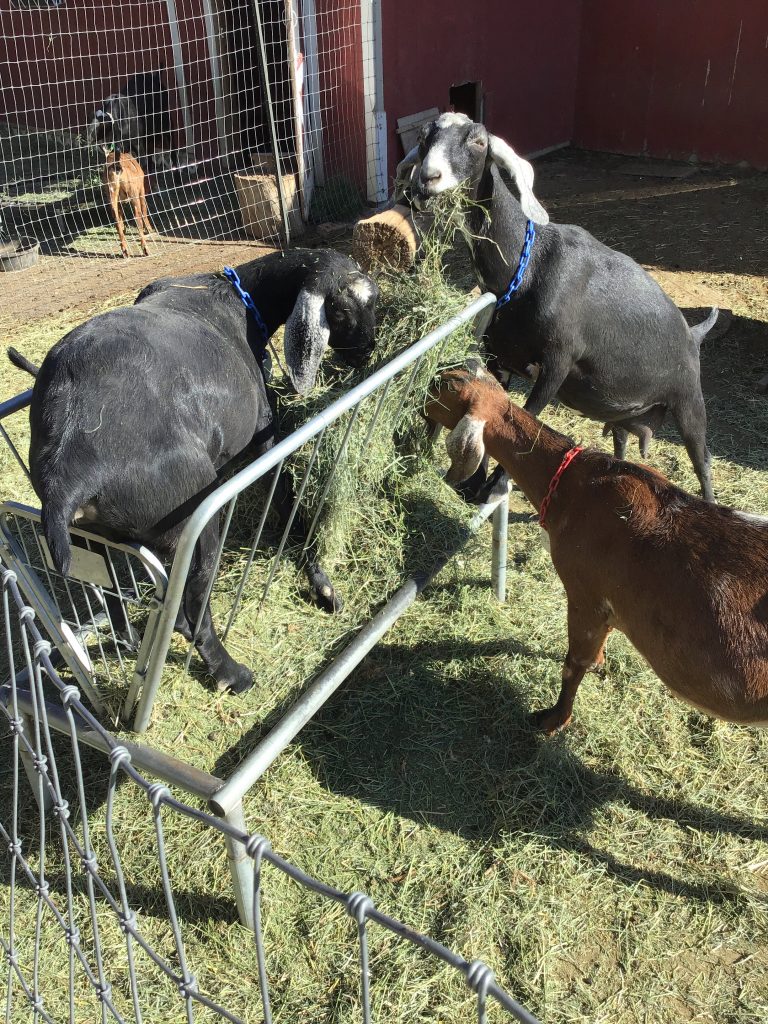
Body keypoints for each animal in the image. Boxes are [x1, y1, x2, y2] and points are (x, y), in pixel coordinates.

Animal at [13, 248, 380, 696]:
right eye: (345, 309)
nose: (369, 350)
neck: (238, 300)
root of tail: (67, 475)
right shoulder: (264, 435)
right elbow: (285, 499)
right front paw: (321, 583)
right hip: (193, 520)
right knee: (189, 612)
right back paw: (232, 673)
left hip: (95, 536)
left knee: (116, 594)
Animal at [399, 114, 720, 501]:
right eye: (422, 137)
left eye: (478, 142)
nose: (426, 179)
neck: (525, 270)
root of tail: (693, 333)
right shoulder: (498, 357)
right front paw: (475, 484)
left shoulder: (558, 361)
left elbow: (530, 420)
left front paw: (494, 486)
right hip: (624, 411)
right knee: (622, 441)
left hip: (689, 398)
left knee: (702, 460)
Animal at [423, 368, 768, 737]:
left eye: (441, 389)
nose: (422, 396)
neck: (573, 484)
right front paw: (600, 663)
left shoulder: (586, 594)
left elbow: (574, 663)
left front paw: (553, 720)